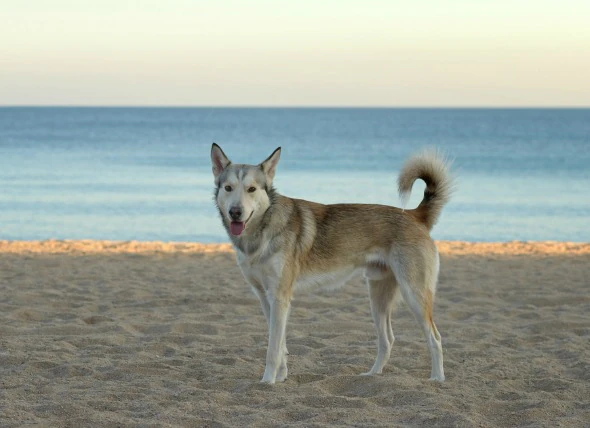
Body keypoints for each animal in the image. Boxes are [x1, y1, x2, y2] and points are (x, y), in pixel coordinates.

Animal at [212, 144, 454, 384]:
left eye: (251, 189)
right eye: (228, 188)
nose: (235, 212)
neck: (263, 228)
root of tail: (414, 215)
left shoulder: (280, 298)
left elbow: (273, 349)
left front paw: (268, 381)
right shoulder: (265, 297)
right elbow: (280, 346)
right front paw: (281, 377)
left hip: (414, 295)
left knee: (435, 337)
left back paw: (437, 378)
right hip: (377, 299)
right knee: (388, 340)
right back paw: (372, 375)